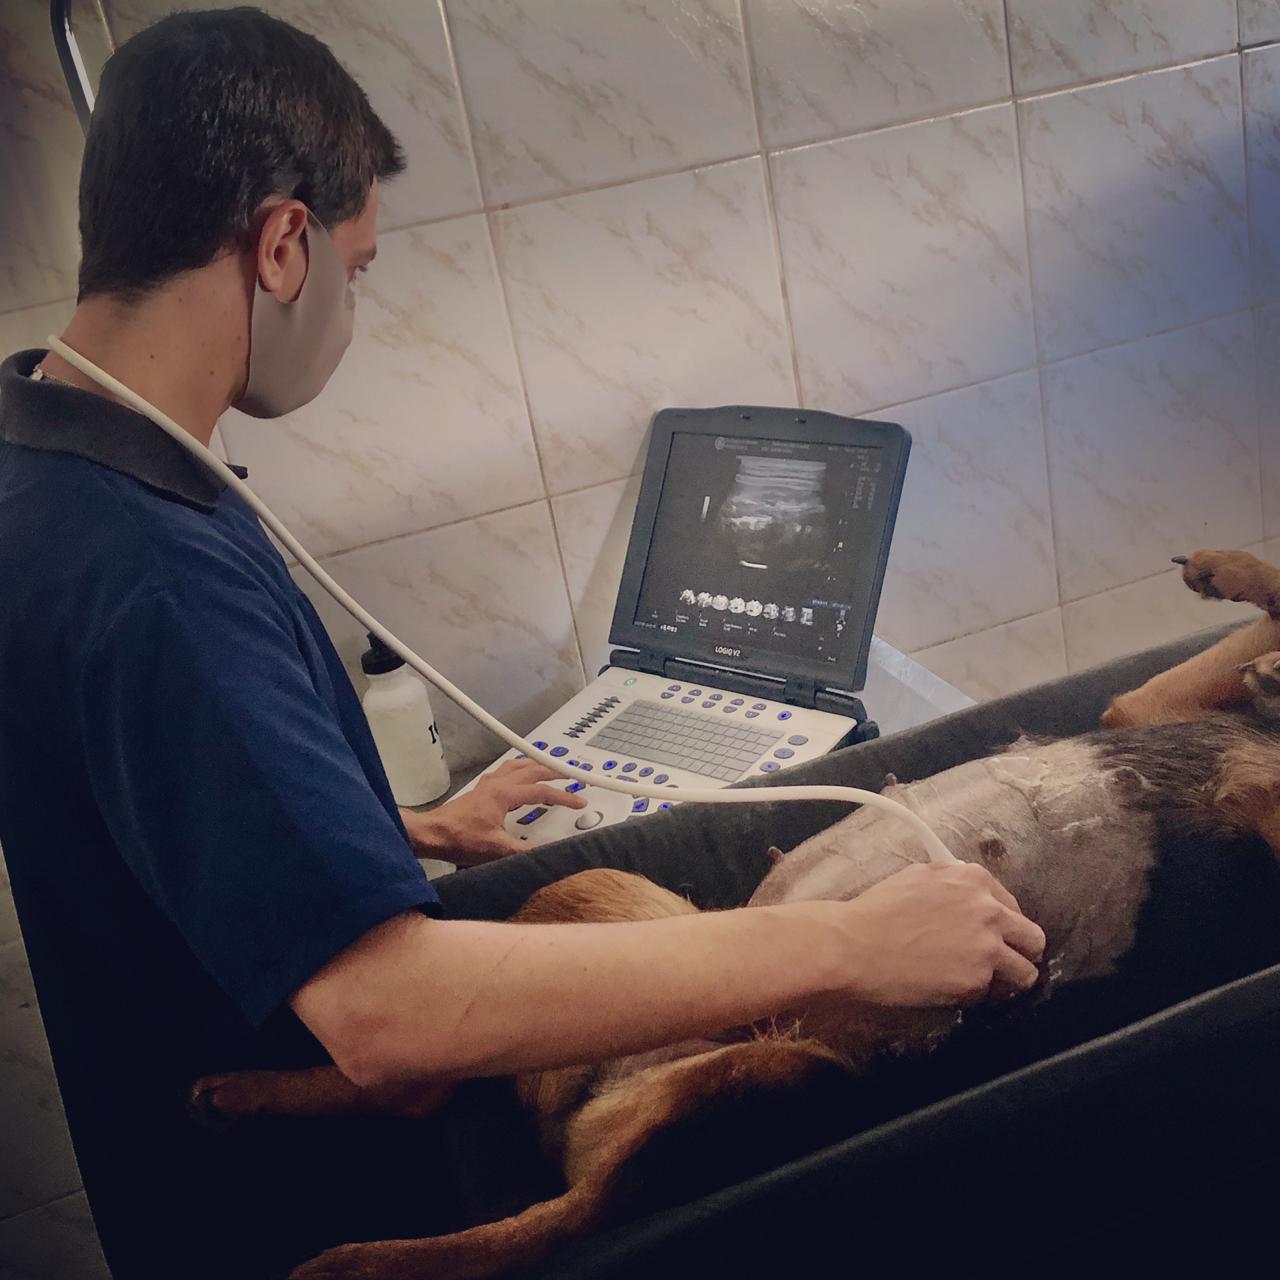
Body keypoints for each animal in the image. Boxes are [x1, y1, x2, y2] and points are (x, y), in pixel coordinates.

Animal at [191, 547, 1280, 1280]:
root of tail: (594, 1097)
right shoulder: (1140, 713)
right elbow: (1262, 610)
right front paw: (1236, 584)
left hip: (780, 1065)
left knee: (544, 1203)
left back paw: (336, 1238)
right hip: (596, 903)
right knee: (456, 1098)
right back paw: (255, 1102)